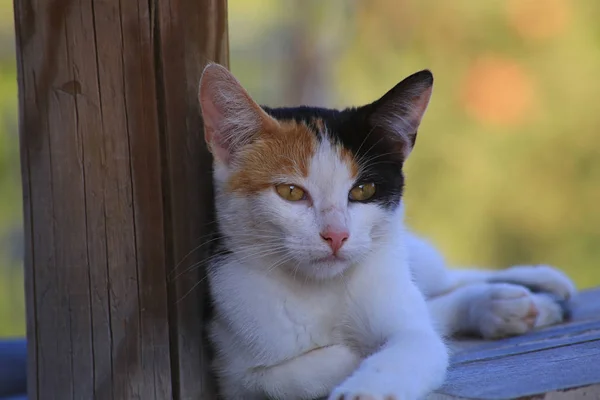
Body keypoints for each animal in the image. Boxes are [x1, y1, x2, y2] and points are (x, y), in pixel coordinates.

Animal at [199, 63, 576, 400]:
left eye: (363, 190)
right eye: (290, 192)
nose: (336, 235)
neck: (321, 292)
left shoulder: (401, 312)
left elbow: (414, 344)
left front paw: (366, 390)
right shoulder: (231, 367)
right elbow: (276, 377)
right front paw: (350, 355)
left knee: (438, 283)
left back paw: (538, 284)